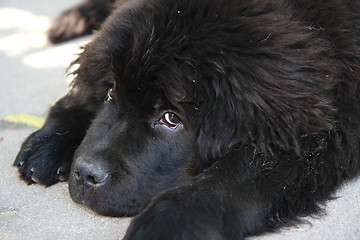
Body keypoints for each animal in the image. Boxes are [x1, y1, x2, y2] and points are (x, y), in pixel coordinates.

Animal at [14, 0, 360, 239]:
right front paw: (47, 142)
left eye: (170, 118)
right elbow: (82, 87)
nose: (85, 173)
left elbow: (231, 179)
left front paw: (162, 223)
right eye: (111, 92)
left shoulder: (318, 135)